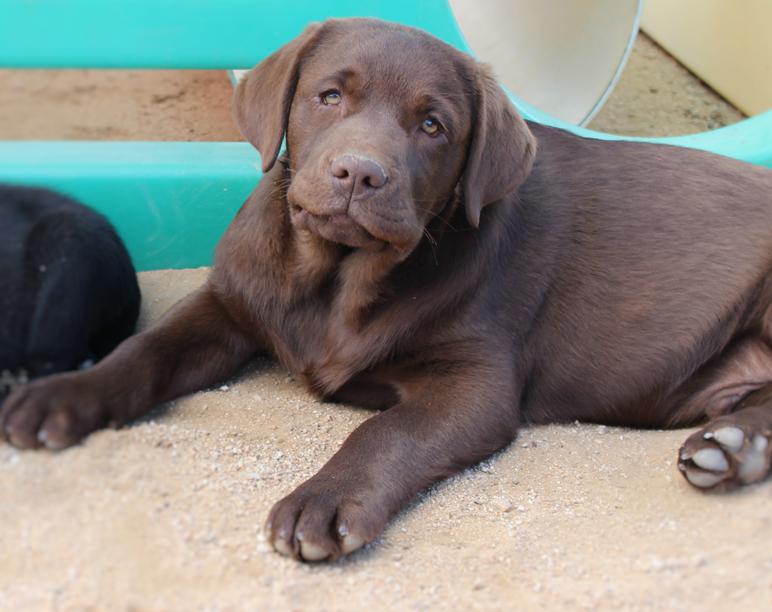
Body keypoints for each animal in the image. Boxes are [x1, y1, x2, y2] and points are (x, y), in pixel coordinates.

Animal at [1, 17, 772, 564]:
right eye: (329, 96)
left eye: (432, 125)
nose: (359, 173)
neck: (337, 278)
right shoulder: (228, 304)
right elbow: (145, 351)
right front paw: (60, 398)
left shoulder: (474, 380)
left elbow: (386, 431)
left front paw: (324, 500)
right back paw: (731, 446)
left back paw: (731, 449)